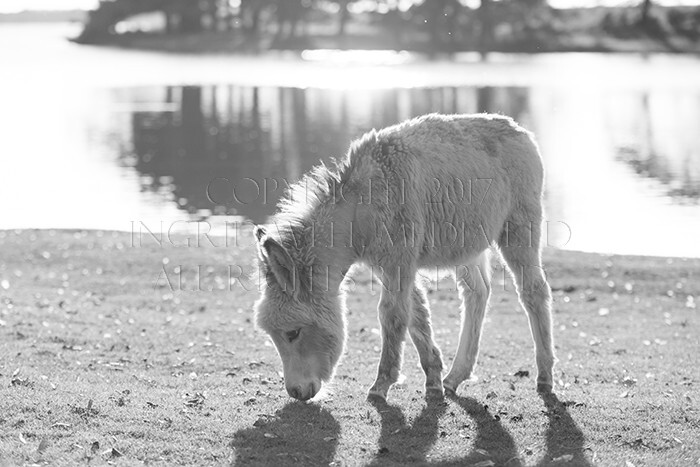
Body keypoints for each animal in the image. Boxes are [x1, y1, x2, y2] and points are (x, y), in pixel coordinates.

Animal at [254, 113, 556, 402]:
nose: (296, 392)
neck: (361, 206)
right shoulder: (392, 265)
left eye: (292, 333)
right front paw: (433, 381)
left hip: (519, 228)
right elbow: (416, 315)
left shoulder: (398, 262)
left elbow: (393, 316)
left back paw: (545, 377)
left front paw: (381, 385)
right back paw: (455, 377)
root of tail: (519, 131)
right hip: (468, 246)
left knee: (533, 291)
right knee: (476, 293)